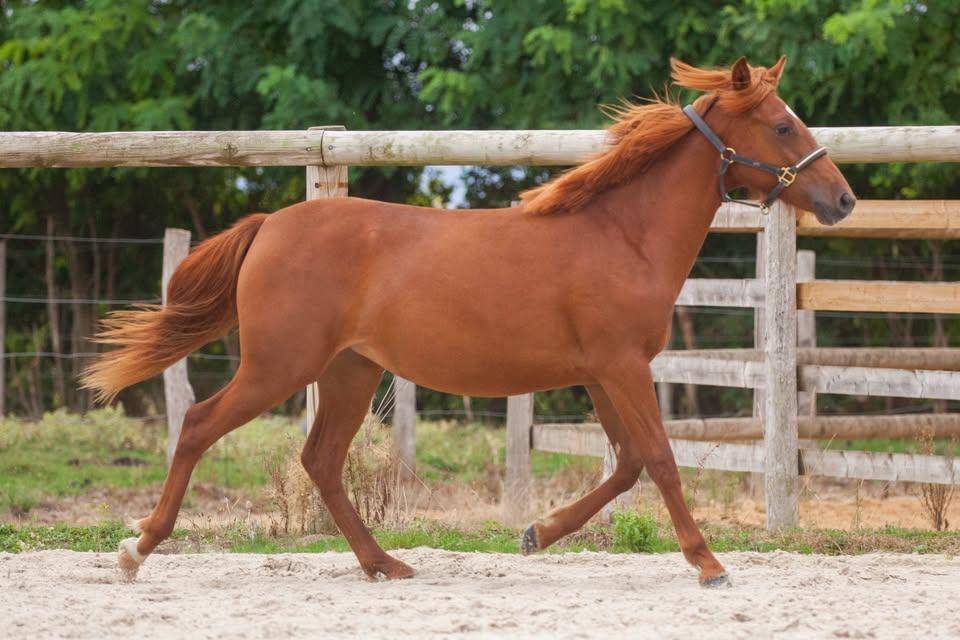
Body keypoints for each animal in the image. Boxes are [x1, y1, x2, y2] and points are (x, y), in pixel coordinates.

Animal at [82, 56, 855, 587]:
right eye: (782, 124)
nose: (843, 199)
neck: (621, 236)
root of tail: (270, 223)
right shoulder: (621, 366)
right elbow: (661, 460)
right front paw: (707, 562)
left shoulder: (602, 372)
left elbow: (630, 463)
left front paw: (537, 532)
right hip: (280, 366)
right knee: (199, 425)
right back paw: (136, 549)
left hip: (349, 371)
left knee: (321, 460)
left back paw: (386, 564)